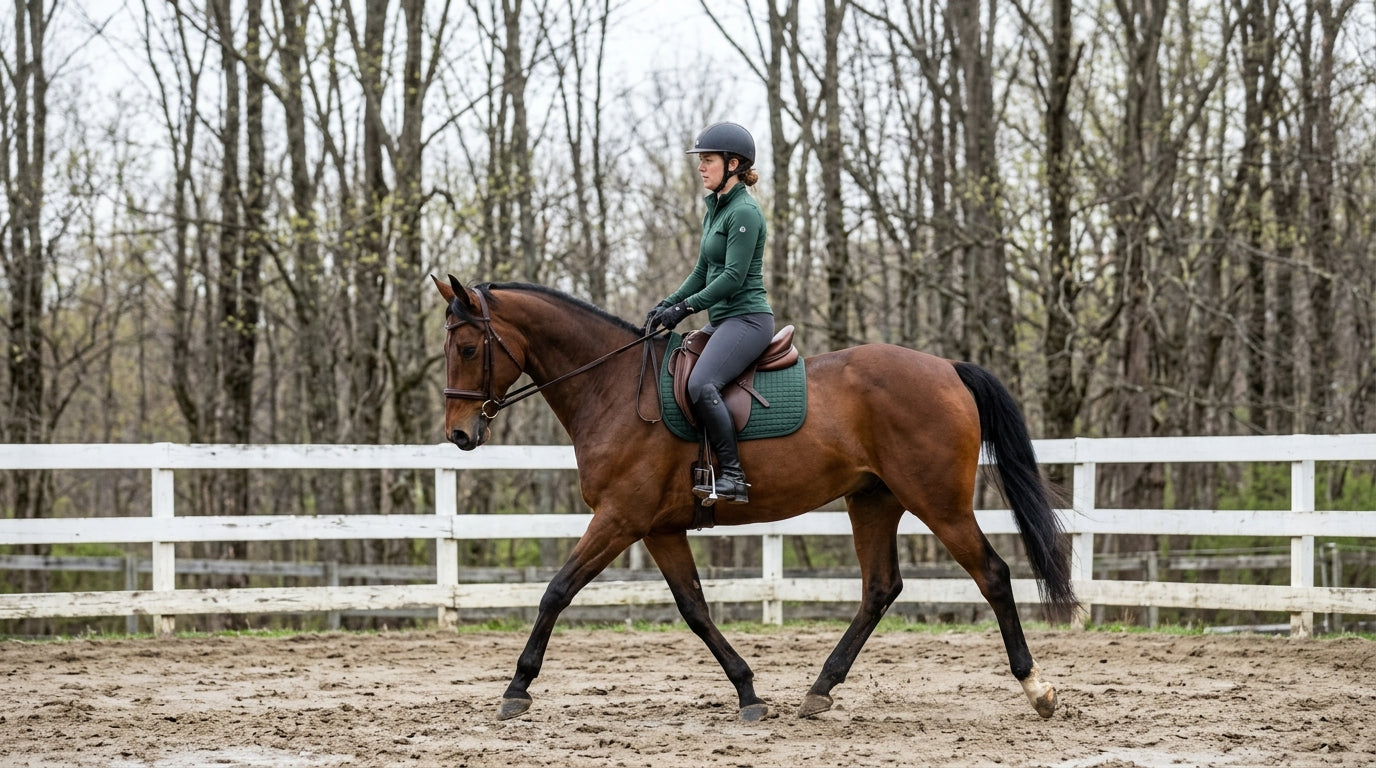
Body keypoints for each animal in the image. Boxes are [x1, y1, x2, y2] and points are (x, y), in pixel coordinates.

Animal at [433, 276, 1078, 723]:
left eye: (466, 348)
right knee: (879, 589)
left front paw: (516, 689)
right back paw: (820, 690)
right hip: (873, 500)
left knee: (992, 574)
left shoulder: (618, 518)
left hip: (937, 502)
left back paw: (1037, 689)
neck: (612, 389)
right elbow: (695, 609)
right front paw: (747, 690)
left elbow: (556, 592)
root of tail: (947, 368)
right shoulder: (658, 528)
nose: (459, 435)